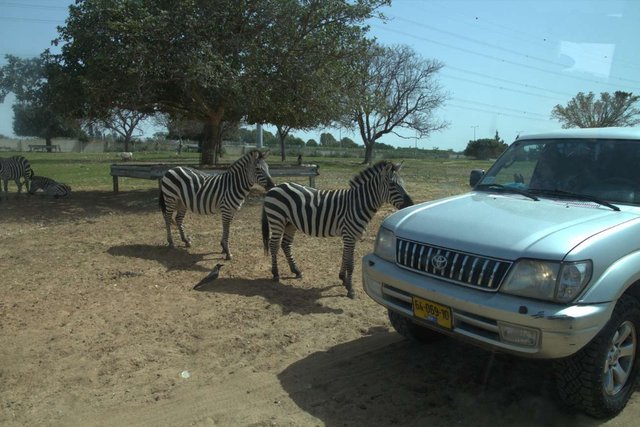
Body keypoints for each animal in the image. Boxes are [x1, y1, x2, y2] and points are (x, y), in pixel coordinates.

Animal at [262, 160, 416, 298]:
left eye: (403, 184)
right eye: (392, 184)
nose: (410, 205)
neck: (358, 204)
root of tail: (276, 187)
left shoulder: (351, 235)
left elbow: (345, 257)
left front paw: (343, 278)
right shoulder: (349, 235)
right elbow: (351, 263)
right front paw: (350, 289)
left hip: (290, 223)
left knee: (285, 244)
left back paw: (296, 271)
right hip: (277, 219)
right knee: (274, 244)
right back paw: (275, 274)